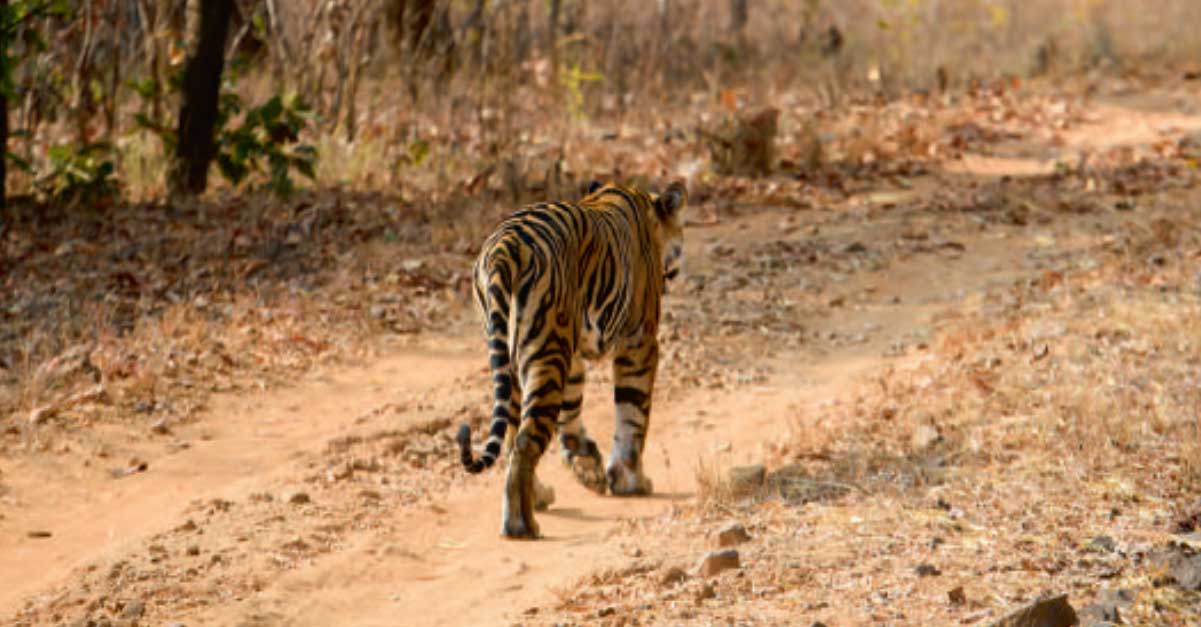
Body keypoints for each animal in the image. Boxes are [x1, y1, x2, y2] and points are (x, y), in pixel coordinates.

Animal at [456, 178, 686, 535]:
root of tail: (505, 245)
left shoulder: (573, 351)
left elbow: (571, 409)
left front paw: (588, 467)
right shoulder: (640, 340)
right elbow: (633, 413)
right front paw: (630, 480)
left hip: (521, 355)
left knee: (511, 436)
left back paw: (537, 498)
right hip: (546, 353)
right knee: (524, 441)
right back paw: (521, 525)